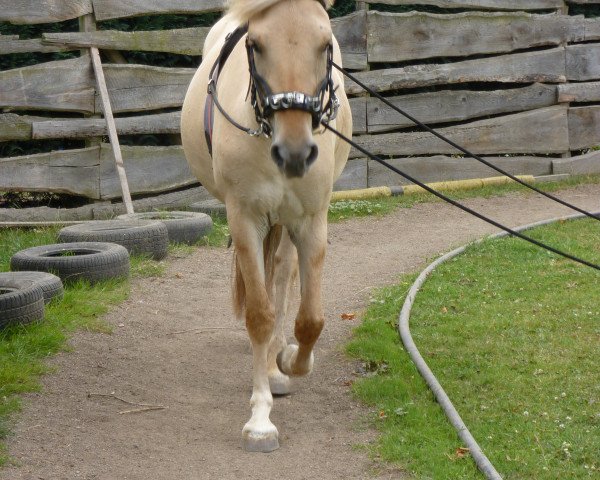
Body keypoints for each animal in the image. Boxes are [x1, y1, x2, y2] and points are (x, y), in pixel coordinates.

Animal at [180, 0, 354, 454]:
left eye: (325, 44)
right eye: (255, 44)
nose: (295, 152)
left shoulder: (311, 222)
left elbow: (310, 320)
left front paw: (288, 360)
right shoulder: (245, 220)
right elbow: (259, 314)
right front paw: (260, 421)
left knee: (283, 273)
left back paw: (277, 366)